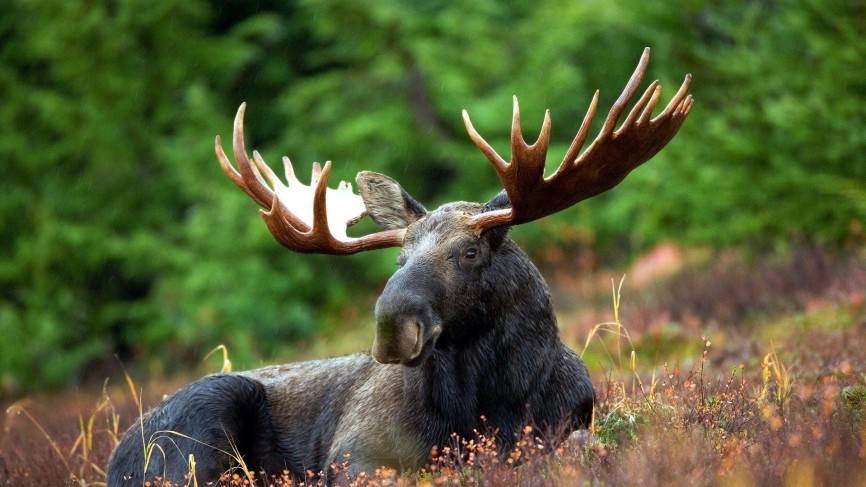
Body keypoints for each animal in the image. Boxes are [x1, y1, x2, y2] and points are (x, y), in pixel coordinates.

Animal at [108, 48, 692, 484]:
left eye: (470, 252)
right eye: (400, 256)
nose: (392, 327)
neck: (492, 403)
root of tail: (116, 456)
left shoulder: (571, 421)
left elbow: (581, 444)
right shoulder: (355, 453)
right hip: (202, 420)